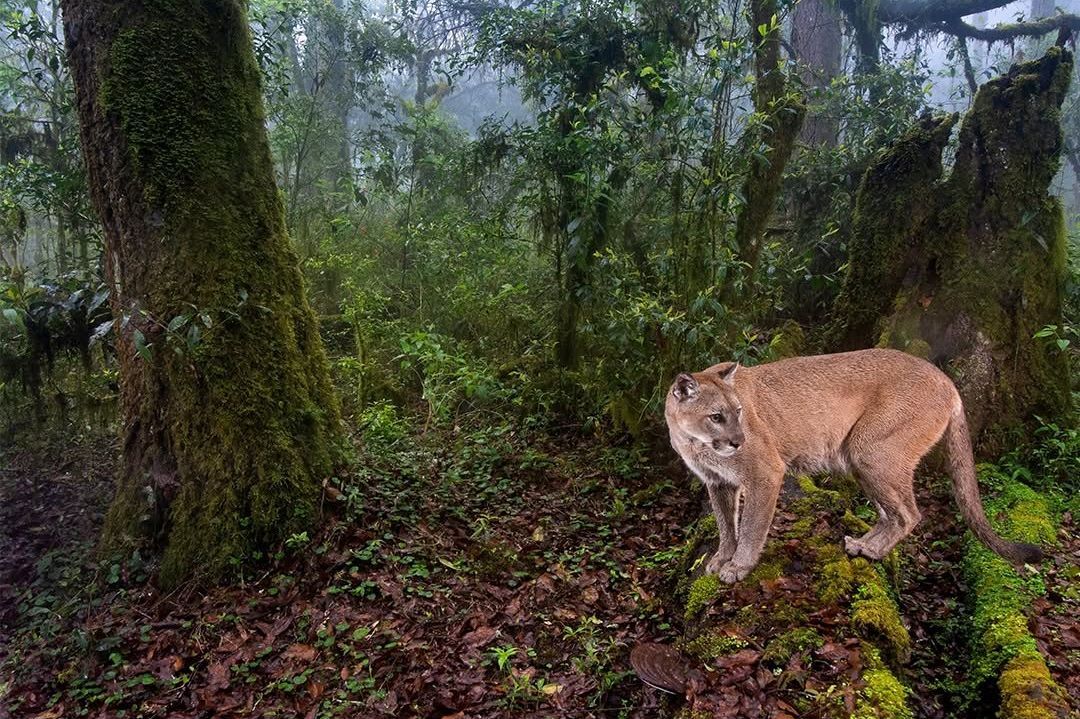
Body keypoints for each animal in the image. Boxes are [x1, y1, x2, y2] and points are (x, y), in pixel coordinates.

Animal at [660, 347, 1041, 582]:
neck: (696, 442)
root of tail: (945, 378)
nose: (739, 441)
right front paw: (720, 559)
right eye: (716, 416)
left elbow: (751, 526)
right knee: (891, 512)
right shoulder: (719, 482)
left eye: (738, 412)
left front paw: (739, 566)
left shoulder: (764, 474)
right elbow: (726, 525)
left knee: (909, 514)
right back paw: (862, 544)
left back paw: (872, 550)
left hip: (870, 452)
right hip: (859, 460)